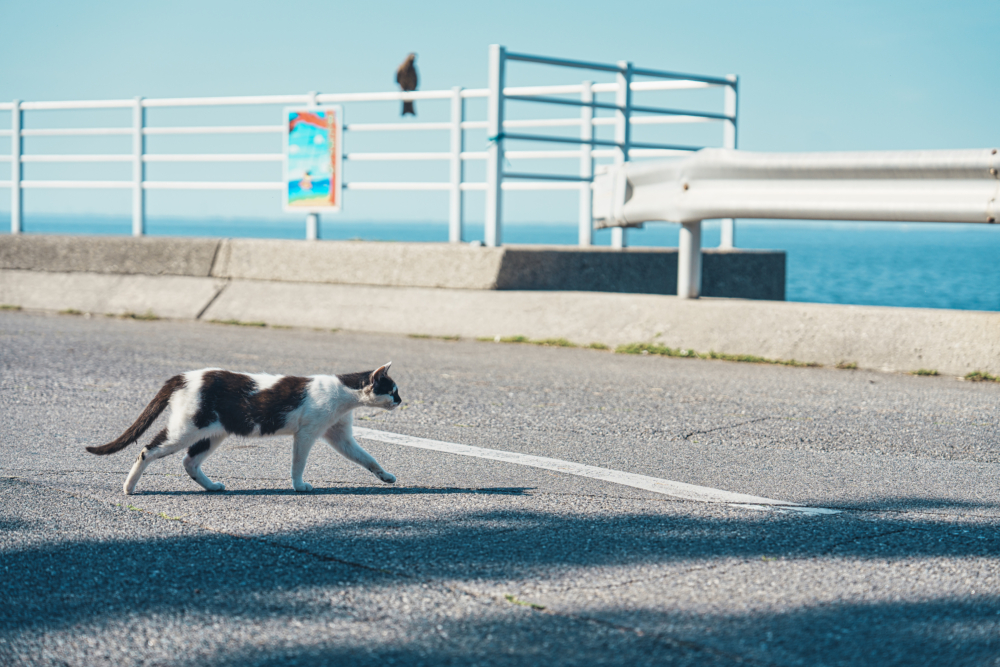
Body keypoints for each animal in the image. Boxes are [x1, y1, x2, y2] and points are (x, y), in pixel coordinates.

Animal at [86, 362, 398, 494]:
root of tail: (183, 376)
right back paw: (129, 487)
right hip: (186, 429)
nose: (401, 401)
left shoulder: (339, 435)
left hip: (214, 432)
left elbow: (367, 458)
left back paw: (212, 486)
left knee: (189, 461)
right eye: (393, 390)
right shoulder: (307, 433)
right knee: (147, 450)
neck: (344, 395)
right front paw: (299, 485)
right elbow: (298, 463)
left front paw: (386, 476)